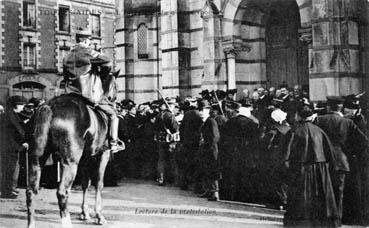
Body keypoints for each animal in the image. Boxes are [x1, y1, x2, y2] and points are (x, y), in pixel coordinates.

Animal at [26, 69, 121, 228]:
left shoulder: (86, 158)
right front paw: (99, 215)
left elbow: (85, 183)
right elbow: (98, 184)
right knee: (62, 192)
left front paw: (84, 213)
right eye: (117, 86)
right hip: (70, 163)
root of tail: (49, 106)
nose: (113, 102)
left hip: (36, 159)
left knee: (31, 191)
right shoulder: (103, 154)